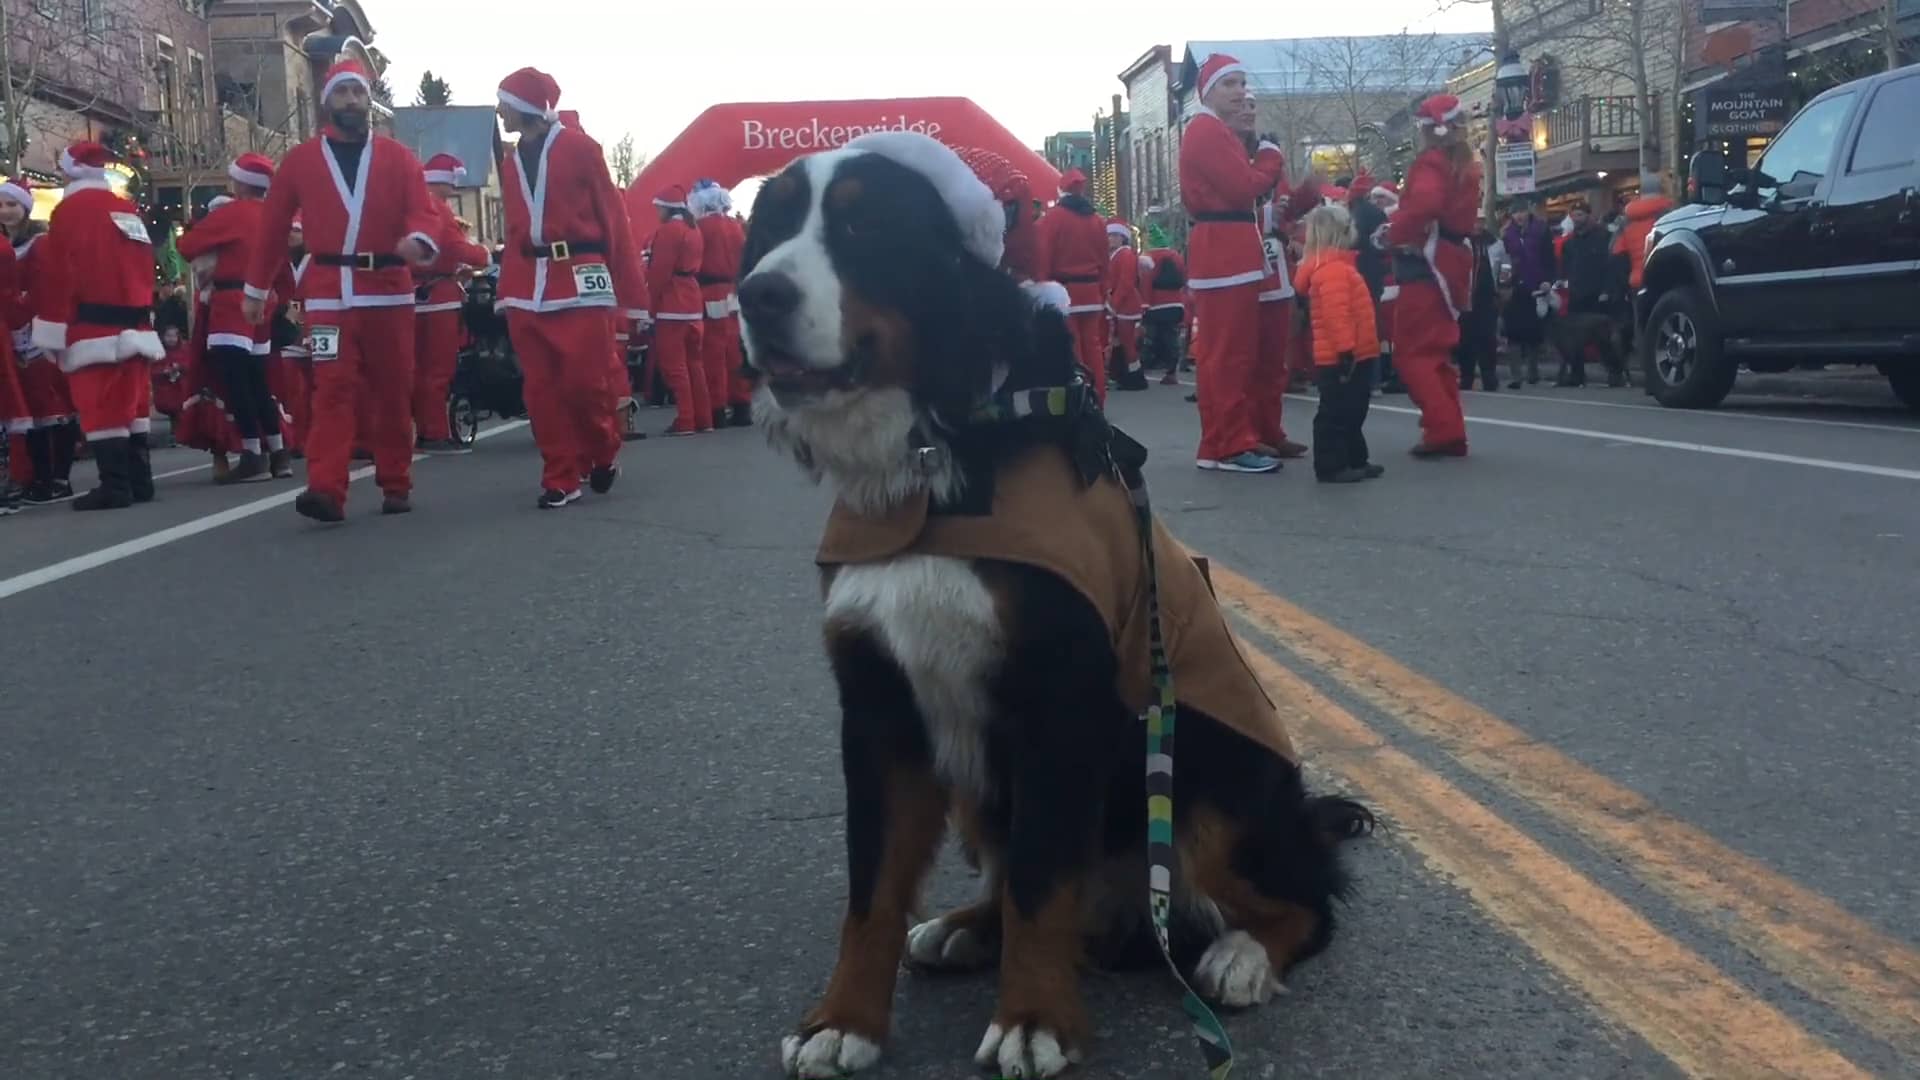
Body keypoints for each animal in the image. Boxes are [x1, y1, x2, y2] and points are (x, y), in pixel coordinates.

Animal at [729, 134, 1367, 1076]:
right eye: (768, 228)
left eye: (863, 227)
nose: (757, 296)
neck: (934, 461)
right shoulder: (880, 706)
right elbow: (872, 888)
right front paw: (843, 1021)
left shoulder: (1056, 701)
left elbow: (1039, 879)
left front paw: (1033, 1021)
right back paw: (963, 928)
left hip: (1209, 775)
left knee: (1305, 897)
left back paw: (1240, 957)